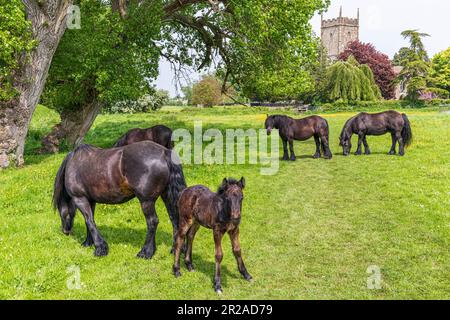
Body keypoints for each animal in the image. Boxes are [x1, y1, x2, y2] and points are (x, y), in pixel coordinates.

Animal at [52, 141, 186, 258]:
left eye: (59, 210)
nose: (65, 231)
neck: (73, 164)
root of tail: (164, 152)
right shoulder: (91, 200)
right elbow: (89, 221)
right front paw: (88, 243)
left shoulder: (80, 199)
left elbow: (89, 221)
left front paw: (100, 249)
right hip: (167, 196)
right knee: (175, 220)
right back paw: (174, 250)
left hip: (146, 201)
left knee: (152, 222)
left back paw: (145, 252)